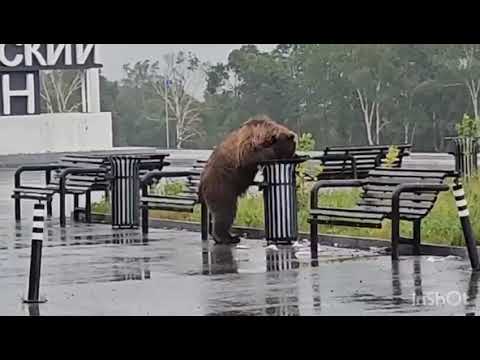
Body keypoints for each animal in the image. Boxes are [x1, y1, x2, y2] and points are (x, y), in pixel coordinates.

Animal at [198, 115, 296, 245]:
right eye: (288, 151)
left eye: (291, 151)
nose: (289, 158)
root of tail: (201, 182)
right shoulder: (248, 142)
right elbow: (249, 155)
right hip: (221, 186)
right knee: (225, 211)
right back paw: (228, 237)